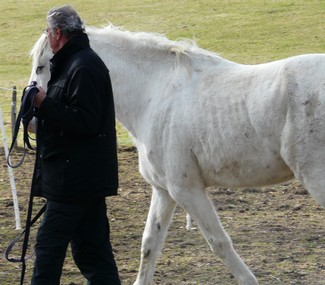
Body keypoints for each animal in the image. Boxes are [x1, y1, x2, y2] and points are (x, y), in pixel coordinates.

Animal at [29, 25, 324, 284]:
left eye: (43, 65)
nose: (31, 120)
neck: (155, 95)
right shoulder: (164, 191)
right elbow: (150, 243)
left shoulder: (187, 191)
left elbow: (219, 242)